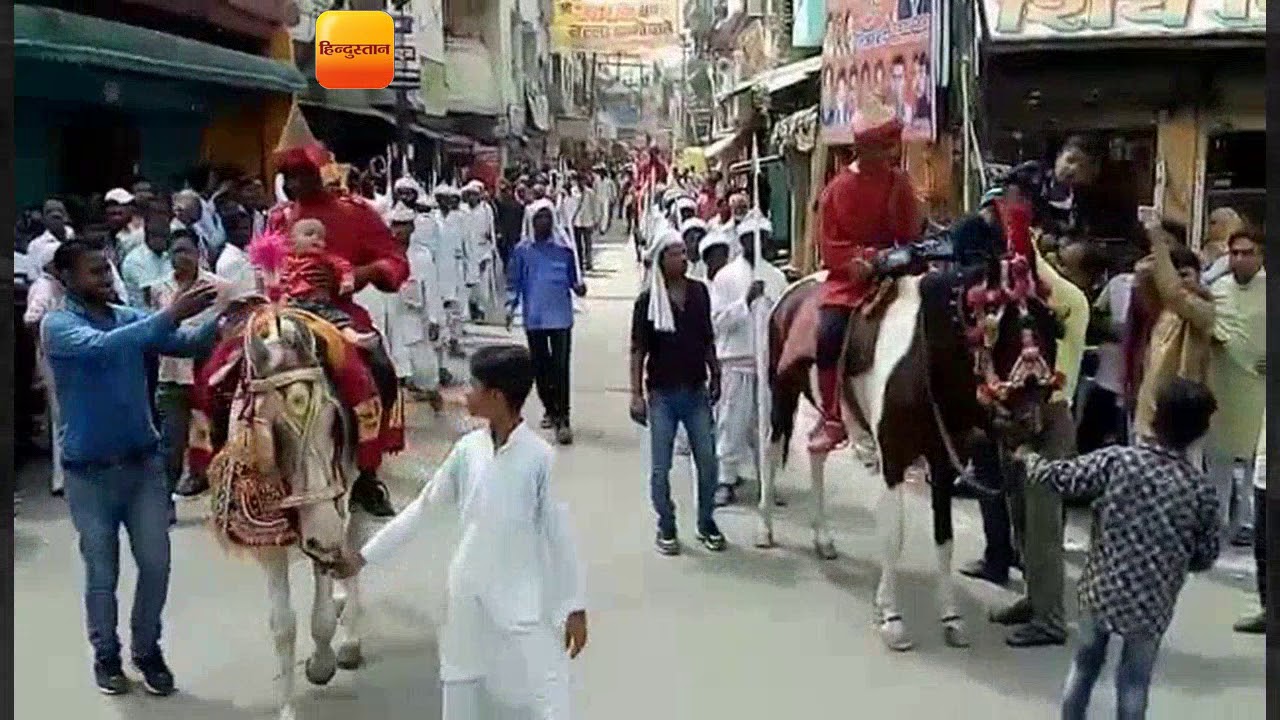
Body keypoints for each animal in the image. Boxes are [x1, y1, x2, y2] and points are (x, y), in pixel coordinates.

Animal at [752, 263, 1054, 650]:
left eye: (1051, 328)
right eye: (1001, 327)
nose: (1030, 421)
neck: (925, 361)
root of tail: (793, 288)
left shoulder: (942, 463)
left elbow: (944, 539)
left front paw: (951, 618)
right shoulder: (893, 459)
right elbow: (893, 537)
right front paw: (892, 618)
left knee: (815, 449)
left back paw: (823, 538)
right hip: (782, 390)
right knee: (772, 449)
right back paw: (765, 526)